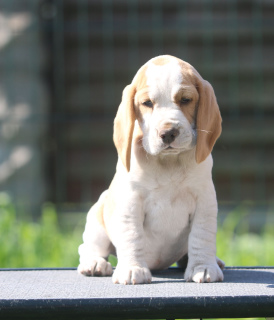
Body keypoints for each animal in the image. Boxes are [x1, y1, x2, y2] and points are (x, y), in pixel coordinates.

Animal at [77, 55, 225, 284]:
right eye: (147, 103)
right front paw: (132, 269)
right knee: (88, 248)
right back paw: (94, 264)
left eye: (185, 100)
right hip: (97, 219)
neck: (168, 163)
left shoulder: (205, 200)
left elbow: (202, 235)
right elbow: (132, 236)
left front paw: (203, 267)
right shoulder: (130, 203)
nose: (168, 133)